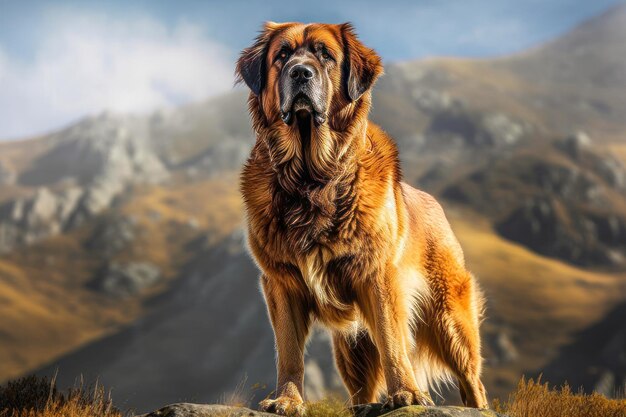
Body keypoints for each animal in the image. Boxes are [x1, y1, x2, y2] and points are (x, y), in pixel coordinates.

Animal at [235, 21, 488, 412]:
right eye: (282, 55)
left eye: (325, 55)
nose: (300, 72)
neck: (312, 178)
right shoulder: (281, 281)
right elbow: (289, 351)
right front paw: (287, 400)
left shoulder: (377, 276)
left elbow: (392, 341)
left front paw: (407, 393)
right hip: (350, 344)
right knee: (361, 388)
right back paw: (363, 407)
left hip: (451, 320)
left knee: (473, 381)